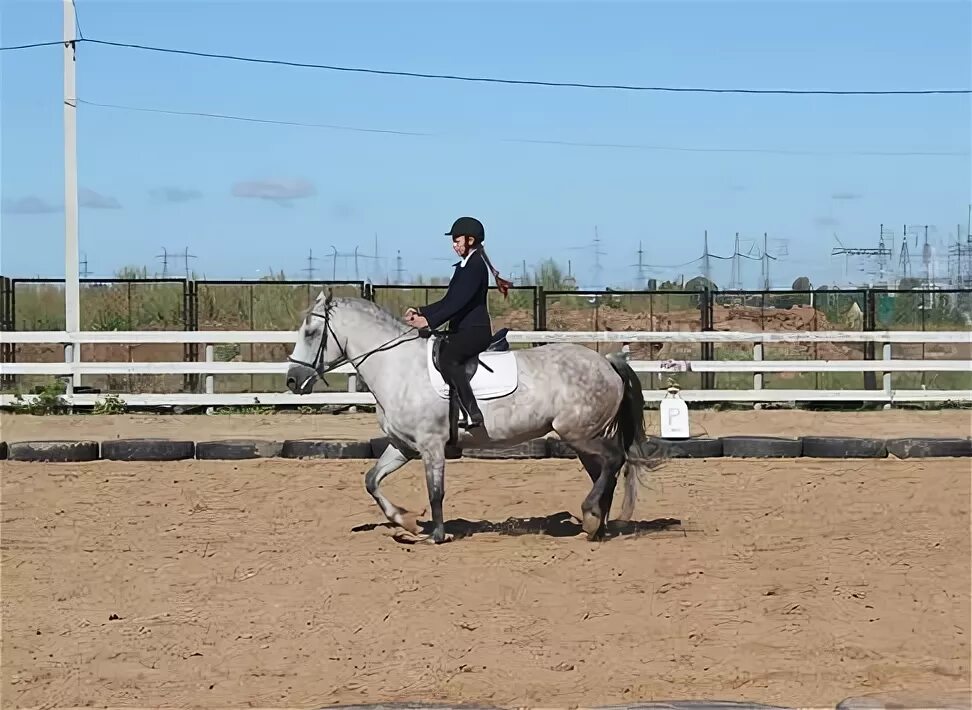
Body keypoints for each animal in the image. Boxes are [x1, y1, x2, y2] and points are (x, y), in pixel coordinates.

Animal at [282, 292, 660, 548]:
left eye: (311, 332)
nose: (291, 381)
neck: (398, 367)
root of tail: (607, 362)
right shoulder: (404, 446)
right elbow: (372, 480)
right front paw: (405, 520)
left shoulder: (431, 445)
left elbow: (436, 491)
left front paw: (436, 535)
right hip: (581, 439)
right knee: (605, 472)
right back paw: (595, 524)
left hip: (579, 434)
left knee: (613, 461)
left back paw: (592, 517)